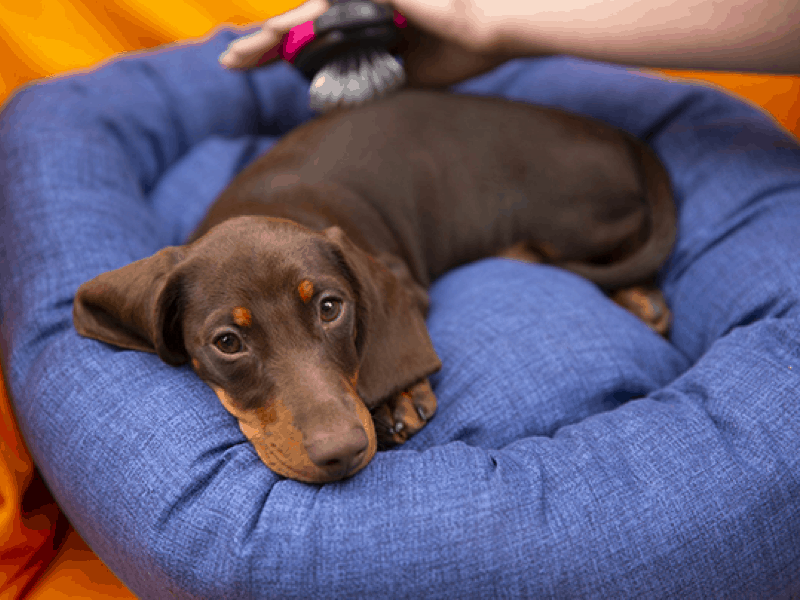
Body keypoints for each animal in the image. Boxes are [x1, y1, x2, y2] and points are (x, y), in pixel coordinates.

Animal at [75, 90, 676, 482]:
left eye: (330, 308)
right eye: (227, 342)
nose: (341, 451)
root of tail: (623, 137)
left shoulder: (402, 279)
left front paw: (397, 394)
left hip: (567, 222)